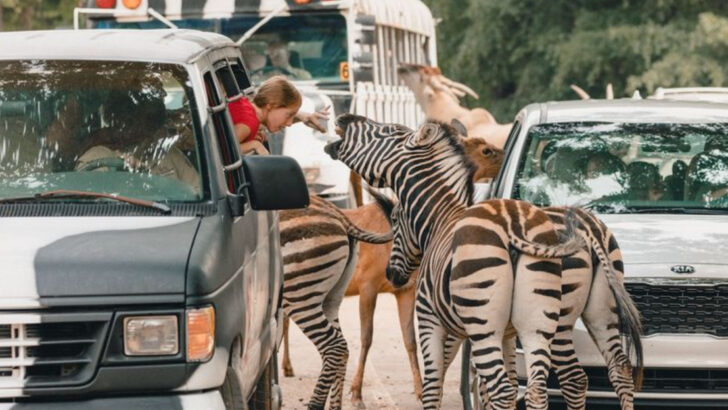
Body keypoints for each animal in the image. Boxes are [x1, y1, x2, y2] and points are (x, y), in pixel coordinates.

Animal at [279, 194, 392, 410]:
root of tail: (338, 214)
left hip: (301, 294)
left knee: (335, 347)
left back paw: (315, 404)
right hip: (330, 297)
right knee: (341, 349)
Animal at [325, 115, 585, 410]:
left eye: (389, 130)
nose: (343, 118)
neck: (439, 216)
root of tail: (513, 227)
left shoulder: (428, 316)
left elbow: (430, 382)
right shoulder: (503, 334)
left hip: (484, 325)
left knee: (504, 389)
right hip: (537, 324)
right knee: (542, 388)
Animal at [387, 199, 643, 409]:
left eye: (395, 220)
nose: (391, 276)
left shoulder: (432, 319)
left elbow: (436, 383)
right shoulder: (508, 334)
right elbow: (503, 380)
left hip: (542, 324)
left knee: (569, 379)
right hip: (596, 314)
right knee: (617, 368)